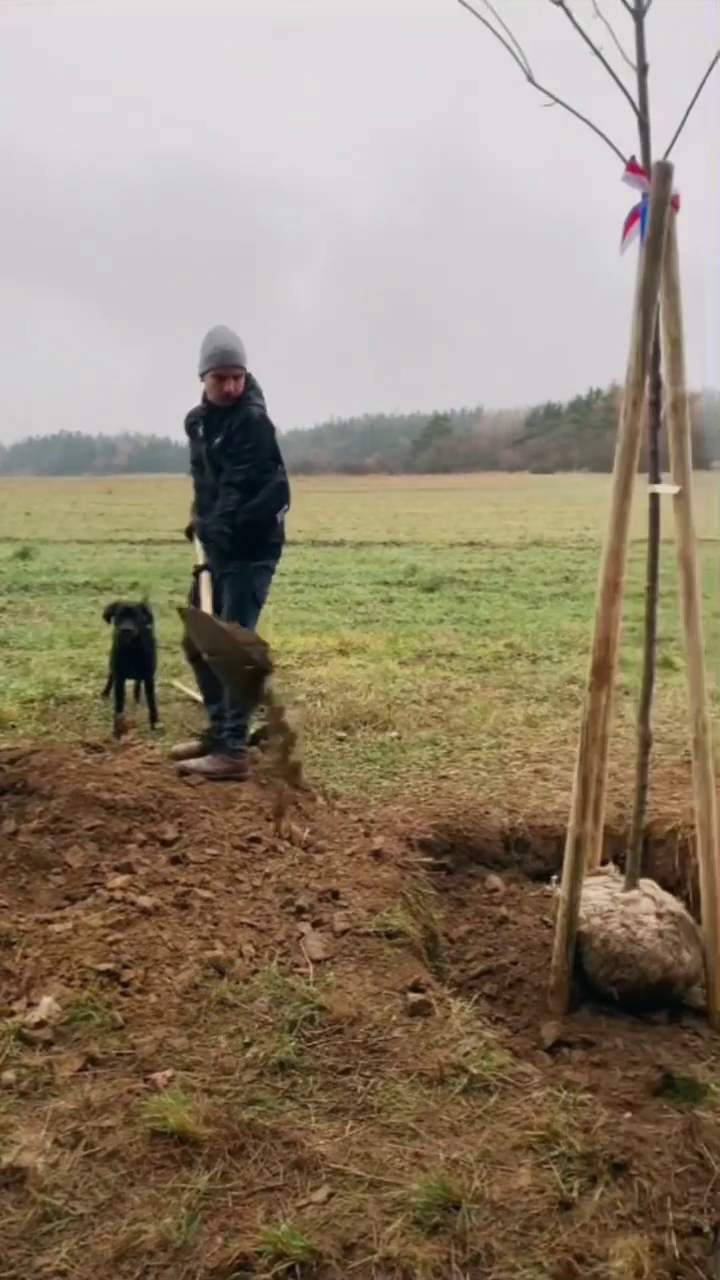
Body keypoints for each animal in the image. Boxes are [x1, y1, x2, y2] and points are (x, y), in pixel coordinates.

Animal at [101, 601, 158, 742]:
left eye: (136, 616)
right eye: (119, 616)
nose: (126, 630)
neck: (131, 649)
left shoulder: (149, 676)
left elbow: (152, 703)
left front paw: (155, 724)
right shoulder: (119, 678)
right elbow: (119, 706)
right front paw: (117, 731)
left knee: (138, 682)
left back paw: (137, 696)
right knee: (111, 676)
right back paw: (105, 692)